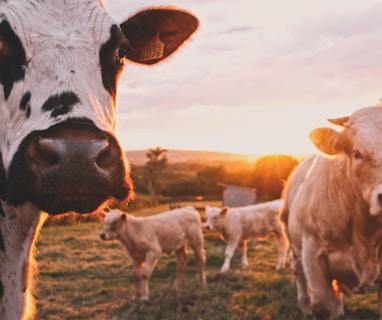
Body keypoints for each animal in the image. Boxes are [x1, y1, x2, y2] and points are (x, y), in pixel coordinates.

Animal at [278, 106, 382, 318]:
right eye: (356, 153)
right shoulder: (313, 255)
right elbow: (324, 306)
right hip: (294, 244)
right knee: (298, 272)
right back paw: (304, 305)